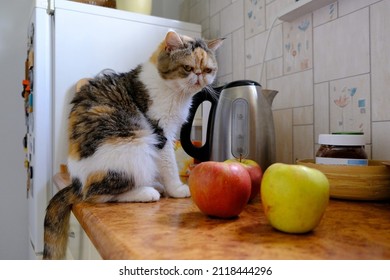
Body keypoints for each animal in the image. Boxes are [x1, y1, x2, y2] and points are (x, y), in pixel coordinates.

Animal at [42, 31, 222, 260]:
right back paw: (146, 192)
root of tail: (76, 184)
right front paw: (177, 189)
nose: (199, 77)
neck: (174, 92)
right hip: (136, 145)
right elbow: (169, 165)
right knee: (99, 195)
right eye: (188, 68)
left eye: (207, 70)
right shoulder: (160, 132)